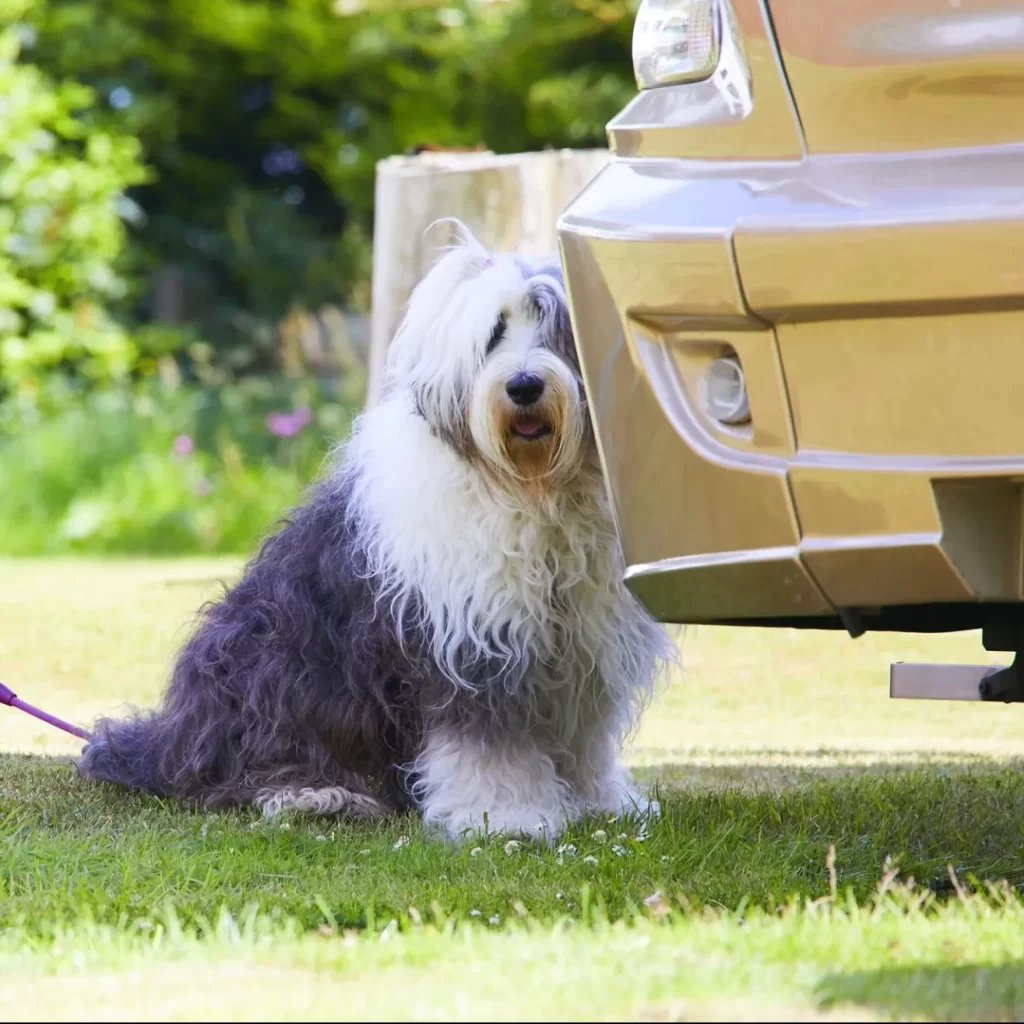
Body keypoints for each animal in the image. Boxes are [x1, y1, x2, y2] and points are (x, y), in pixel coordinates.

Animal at [79, 226, 671, 839]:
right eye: (494, 334)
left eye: (560, 333)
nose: (525, 385)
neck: (535, 491)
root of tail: (166, 743)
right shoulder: (471, 643)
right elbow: (488, 744)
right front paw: (504, 816)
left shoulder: (586, 649)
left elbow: (584, 737)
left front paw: (598, 800)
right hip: (269, 664)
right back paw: (314, 793)